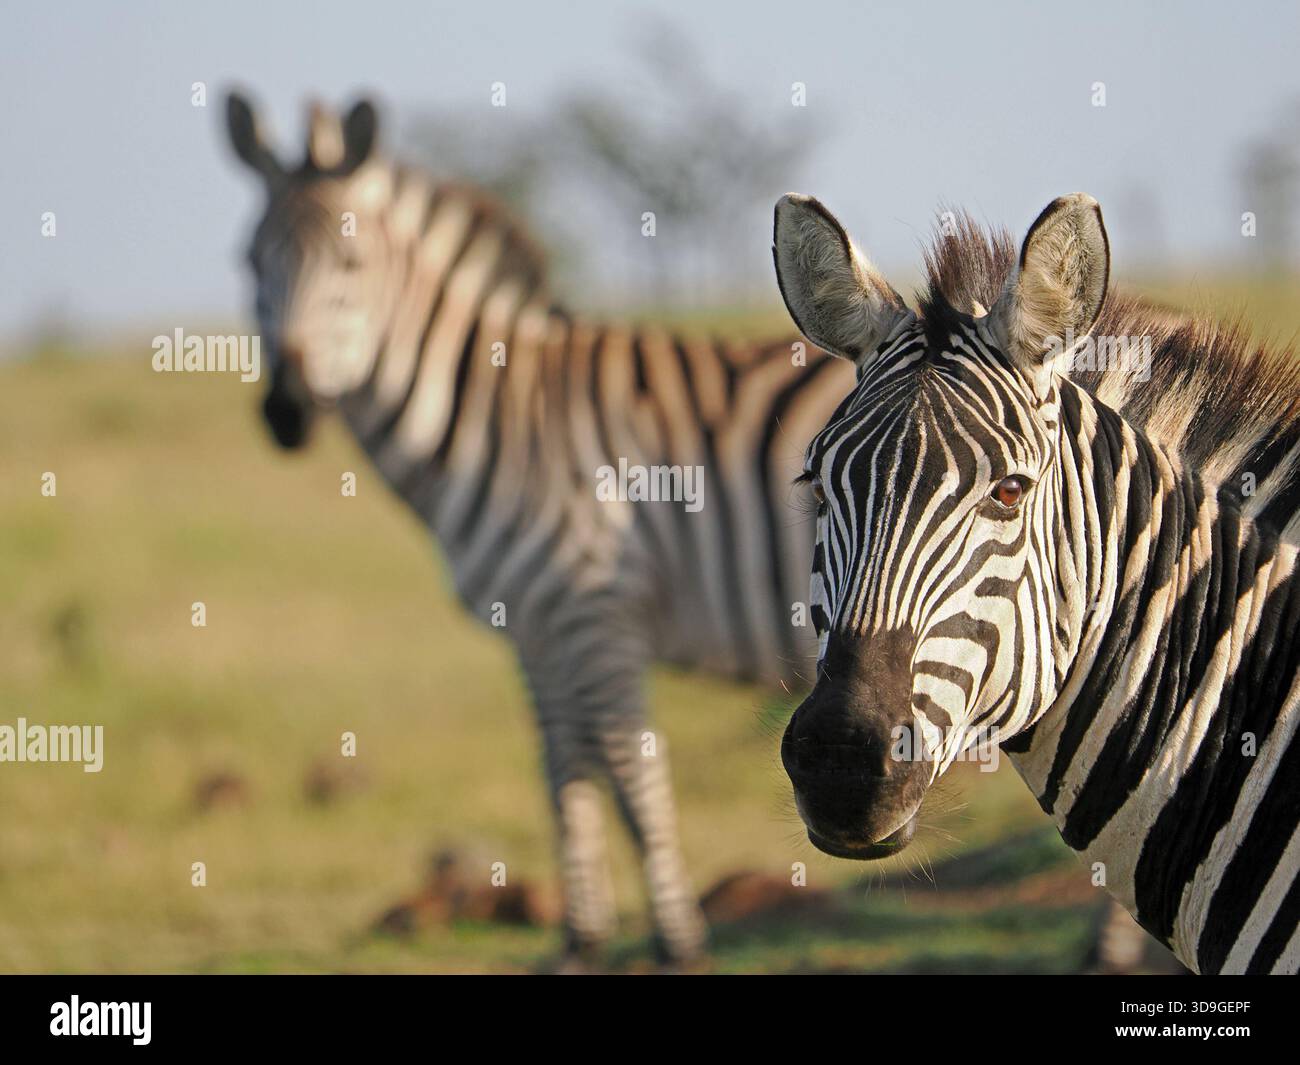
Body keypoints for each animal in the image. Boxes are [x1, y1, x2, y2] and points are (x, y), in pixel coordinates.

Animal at [224, 93, 853, 966]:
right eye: (247, 263)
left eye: (350, 265)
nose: (285, 412)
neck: (500, 417)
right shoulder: (536, 626)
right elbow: (563, 770)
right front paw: (581, 940)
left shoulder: (597, 610)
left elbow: (630, 773)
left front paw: (677, 943)